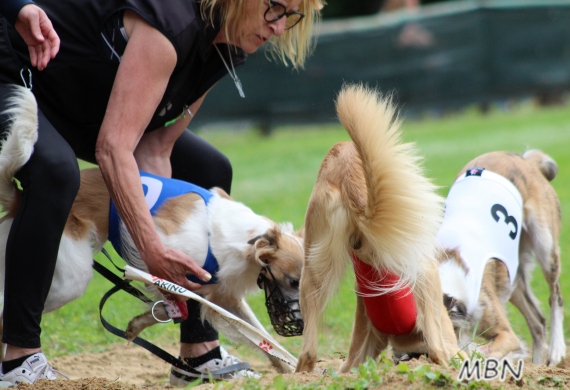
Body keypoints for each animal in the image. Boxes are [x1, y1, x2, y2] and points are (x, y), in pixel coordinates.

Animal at [0, 86, 304, 374]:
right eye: (293, 282)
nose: (300, 322)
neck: (238, 238)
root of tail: (20, 196)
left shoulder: (219, 293)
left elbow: (260, 336)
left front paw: (291, 369)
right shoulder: (164, 257)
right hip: (69, 276)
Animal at [434, 149, 564, 366]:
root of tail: (524, 159)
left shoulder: (504, 331)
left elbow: (491, 349)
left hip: (545, 244)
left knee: (556, 296)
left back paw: (556, 350)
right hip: (512, 275)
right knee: (538, 323)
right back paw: (537, 365)